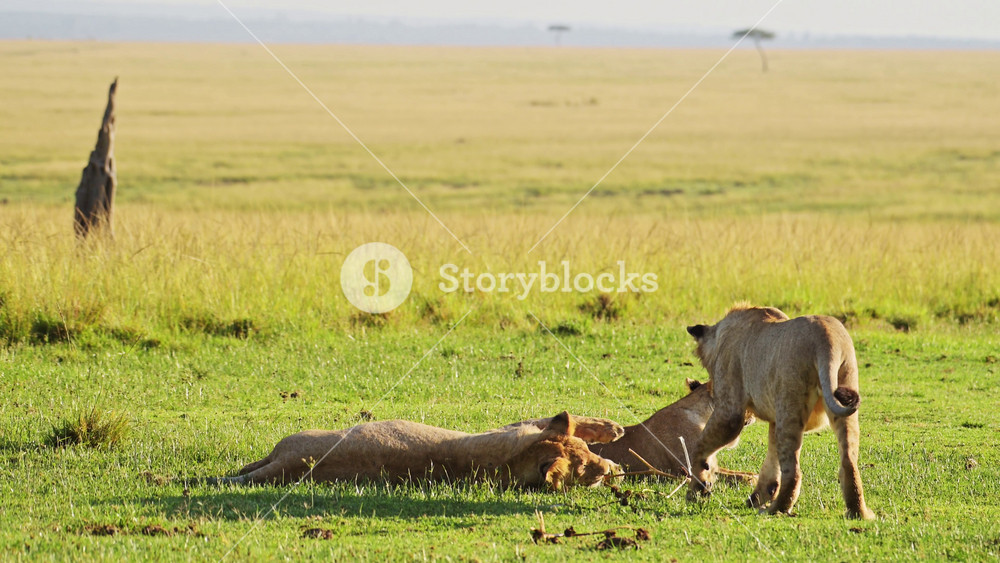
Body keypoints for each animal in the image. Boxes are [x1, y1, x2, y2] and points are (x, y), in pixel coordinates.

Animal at [684, 304, 875, 520]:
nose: (709, 387)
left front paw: (696, 489)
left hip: (789, 406)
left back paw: (776, 509)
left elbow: (700, 445)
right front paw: (756, 498)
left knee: (793, 472)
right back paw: (859, 512)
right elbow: (771, 462)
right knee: (849, 462)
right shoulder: (774, 420)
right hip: (845, 393)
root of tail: (826, 341)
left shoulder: (729, 412)